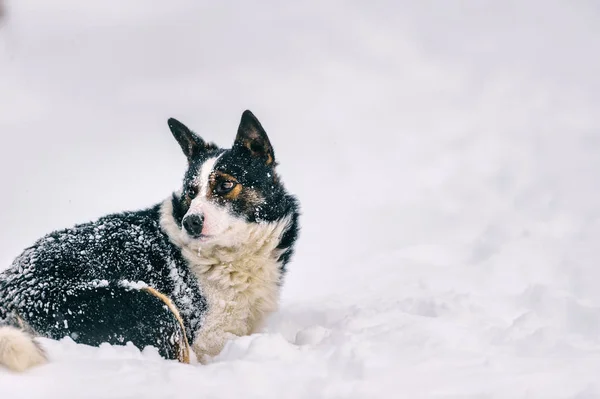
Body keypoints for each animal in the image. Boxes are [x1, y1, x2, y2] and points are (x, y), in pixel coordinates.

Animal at [0, 109, 300, 372]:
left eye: (226, 184)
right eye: (191, 192)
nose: (190, 222)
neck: (227, 255)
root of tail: (9, 295)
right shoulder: (210, 338)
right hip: (152, 306)